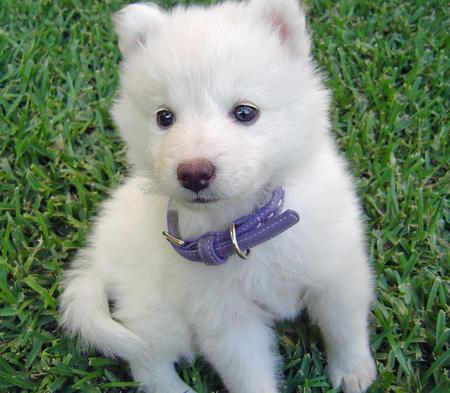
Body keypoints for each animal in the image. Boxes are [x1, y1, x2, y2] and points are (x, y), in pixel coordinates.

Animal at [59, 0, 376, 392]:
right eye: (164, 117)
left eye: (245, 112)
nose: (194, 172)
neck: (248, 225)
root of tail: (98, 259)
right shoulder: (225, 319)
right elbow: (249, 375)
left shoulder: (337, 273)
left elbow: (343, 326)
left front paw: (352, 371)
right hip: (159, 314)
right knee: (148, 362)